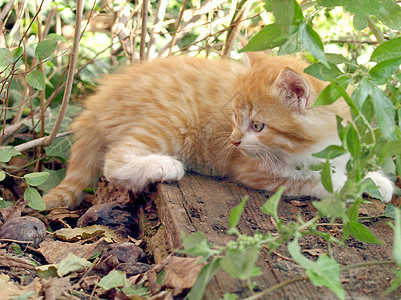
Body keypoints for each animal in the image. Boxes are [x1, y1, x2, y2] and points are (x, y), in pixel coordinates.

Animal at [42, 53, 392, 209]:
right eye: (236, 118)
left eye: (256, 125)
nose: (234, 140)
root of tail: (97, 103)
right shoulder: (251, 169)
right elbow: (305, 178)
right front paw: (344, 185)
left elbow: (341, 165)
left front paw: (374, 180)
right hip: (173, 119)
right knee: (114, 160)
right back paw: (163, 165)